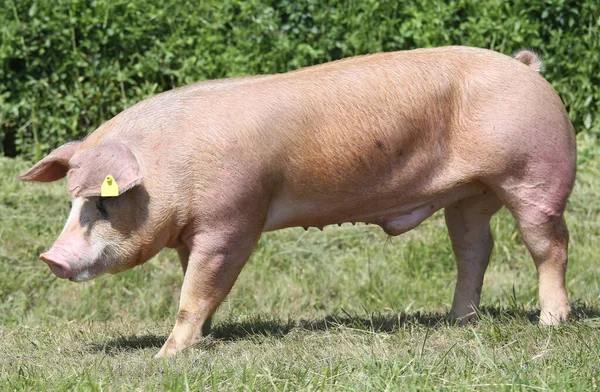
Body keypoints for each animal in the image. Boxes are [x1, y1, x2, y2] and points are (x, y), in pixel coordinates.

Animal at [19, 44, 576, 356]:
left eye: (101, 203)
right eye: (70, 202)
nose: (50, 257)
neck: (168, 169)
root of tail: (527, 69)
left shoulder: (233, 221)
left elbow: (195, 291)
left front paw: (165, 357)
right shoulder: (194, 233)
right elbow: (197, 286)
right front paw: (204, 337)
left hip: (534, 173)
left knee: (549, 246)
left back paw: (551, 323)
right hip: (471, 193)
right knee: (474, 249)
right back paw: (457, 321)